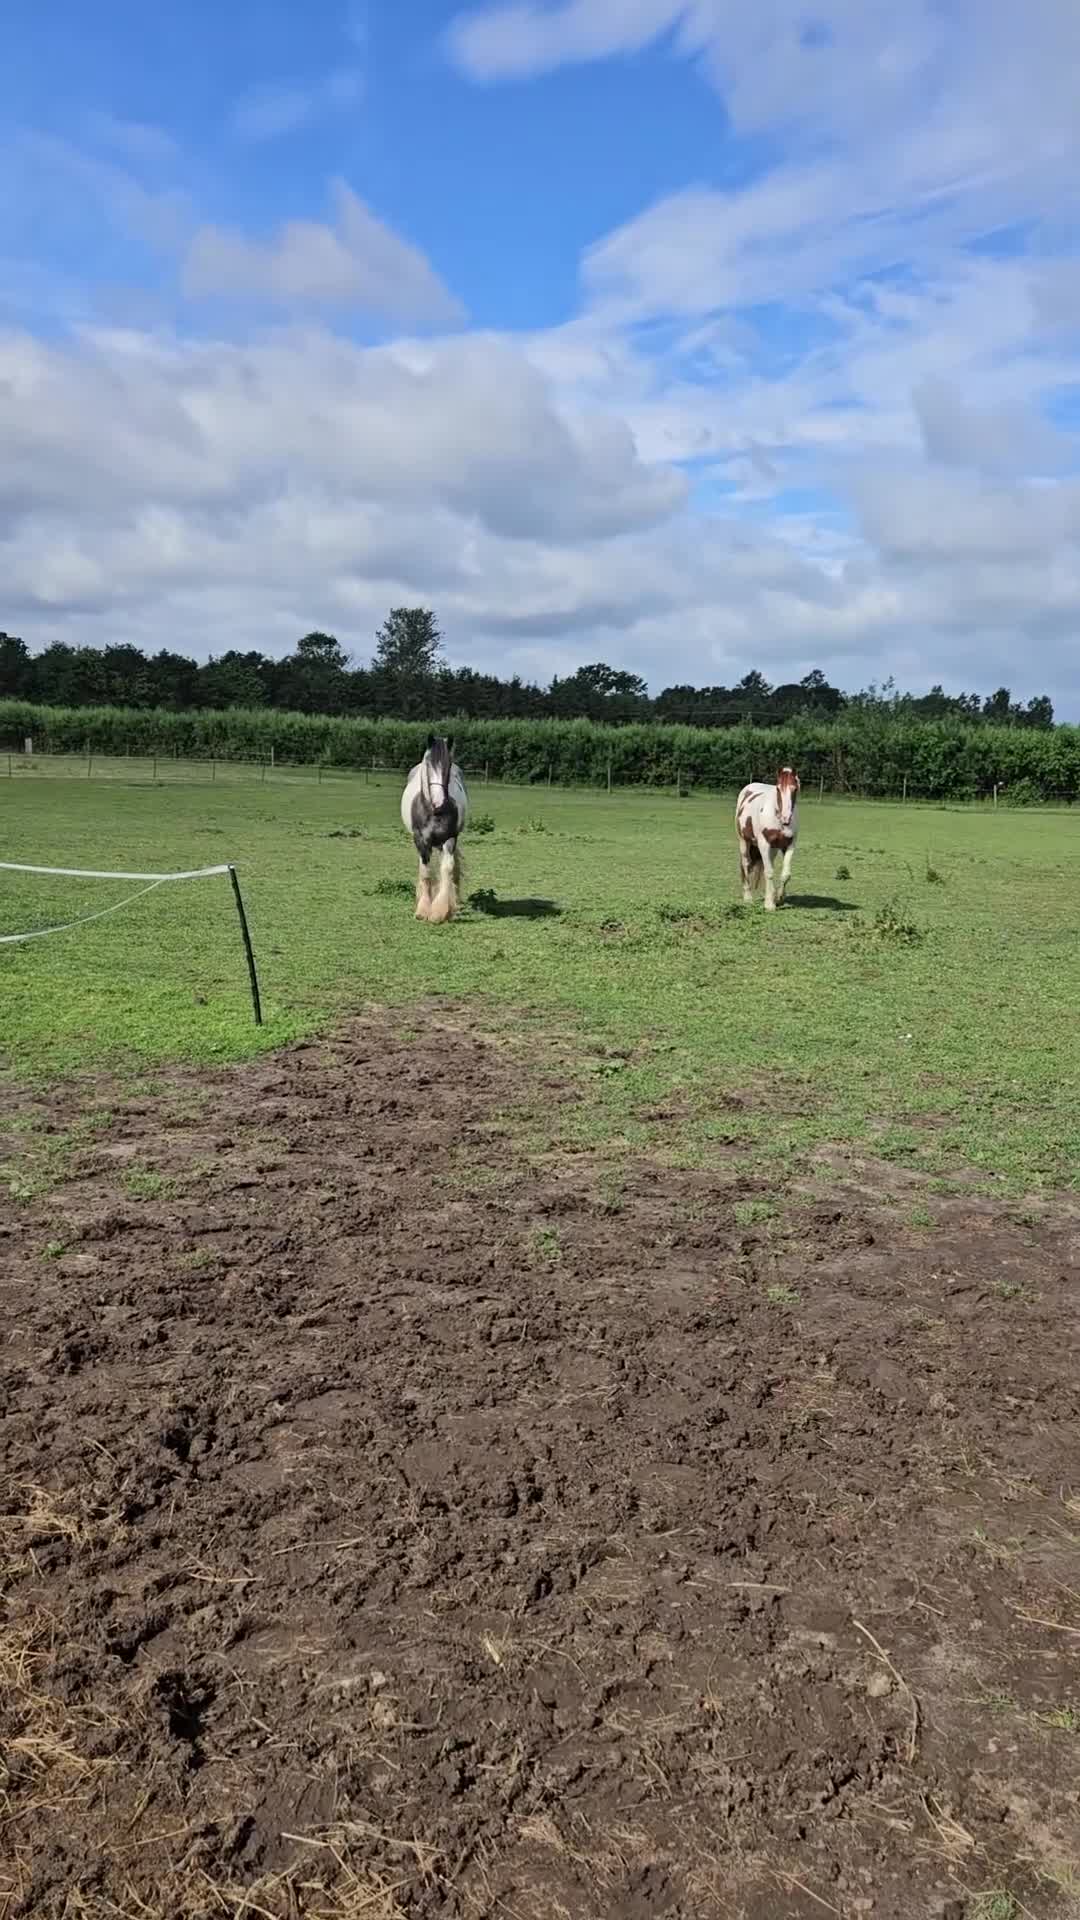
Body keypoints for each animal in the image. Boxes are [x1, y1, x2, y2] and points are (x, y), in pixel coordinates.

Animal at [401, 735, 469, 923]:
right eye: (428, 763)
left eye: (449, 764)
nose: (439, 802)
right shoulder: (421, 841)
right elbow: (425, 872)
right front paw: (423, 910)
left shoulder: (450, 838)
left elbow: (447, 868)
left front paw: (439, 911)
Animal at [736, 766, 800, 910]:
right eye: (778, 788)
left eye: (795, 788)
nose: (786, 818)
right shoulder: (764, 844)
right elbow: (769, 872)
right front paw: (770, 905)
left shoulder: (789, 845)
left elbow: (785, 874)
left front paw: (778, 898)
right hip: (744, 841)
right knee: (746, 864)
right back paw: (748, 898)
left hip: (773, 850)